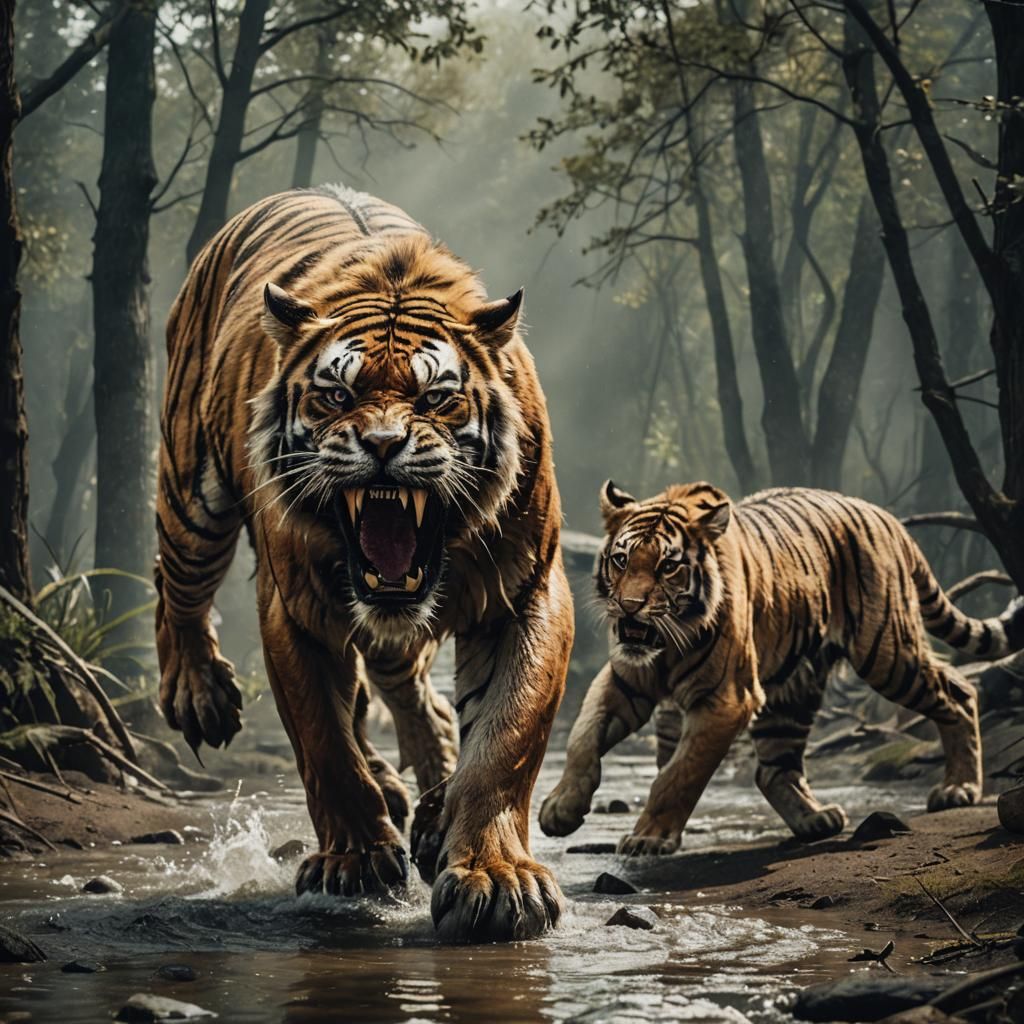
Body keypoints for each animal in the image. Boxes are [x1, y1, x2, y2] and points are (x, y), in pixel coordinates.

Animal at [155, 186, 573, 943]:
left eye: (436, 397)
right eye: (336, 396)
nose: (382, 445)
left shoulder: (526, 593)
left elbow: (504, 741)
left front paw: (496, 878)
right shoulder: (294, 609)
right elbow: (324, 741)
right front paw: (352, 862)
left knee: (409, 690)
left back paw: (430, 807)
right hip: (190, 487)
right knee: (175, 584)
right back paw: (198, 693)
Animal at [539, 480, 1024, 855]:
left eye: (668, 566)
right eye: (621, 559)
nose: (629, 606)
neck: (665, 644)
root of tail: (886, 517)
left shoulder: (727, 699)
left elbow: (679, 774)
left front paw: (649, 838)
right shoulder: (623, 679)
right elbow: (582, 737)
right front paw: (559, 810)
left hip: (887, 653)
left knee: (958, 692)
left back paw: (959, 788)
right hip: (794, 687)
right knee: (776, 767)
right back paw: (816, 819)